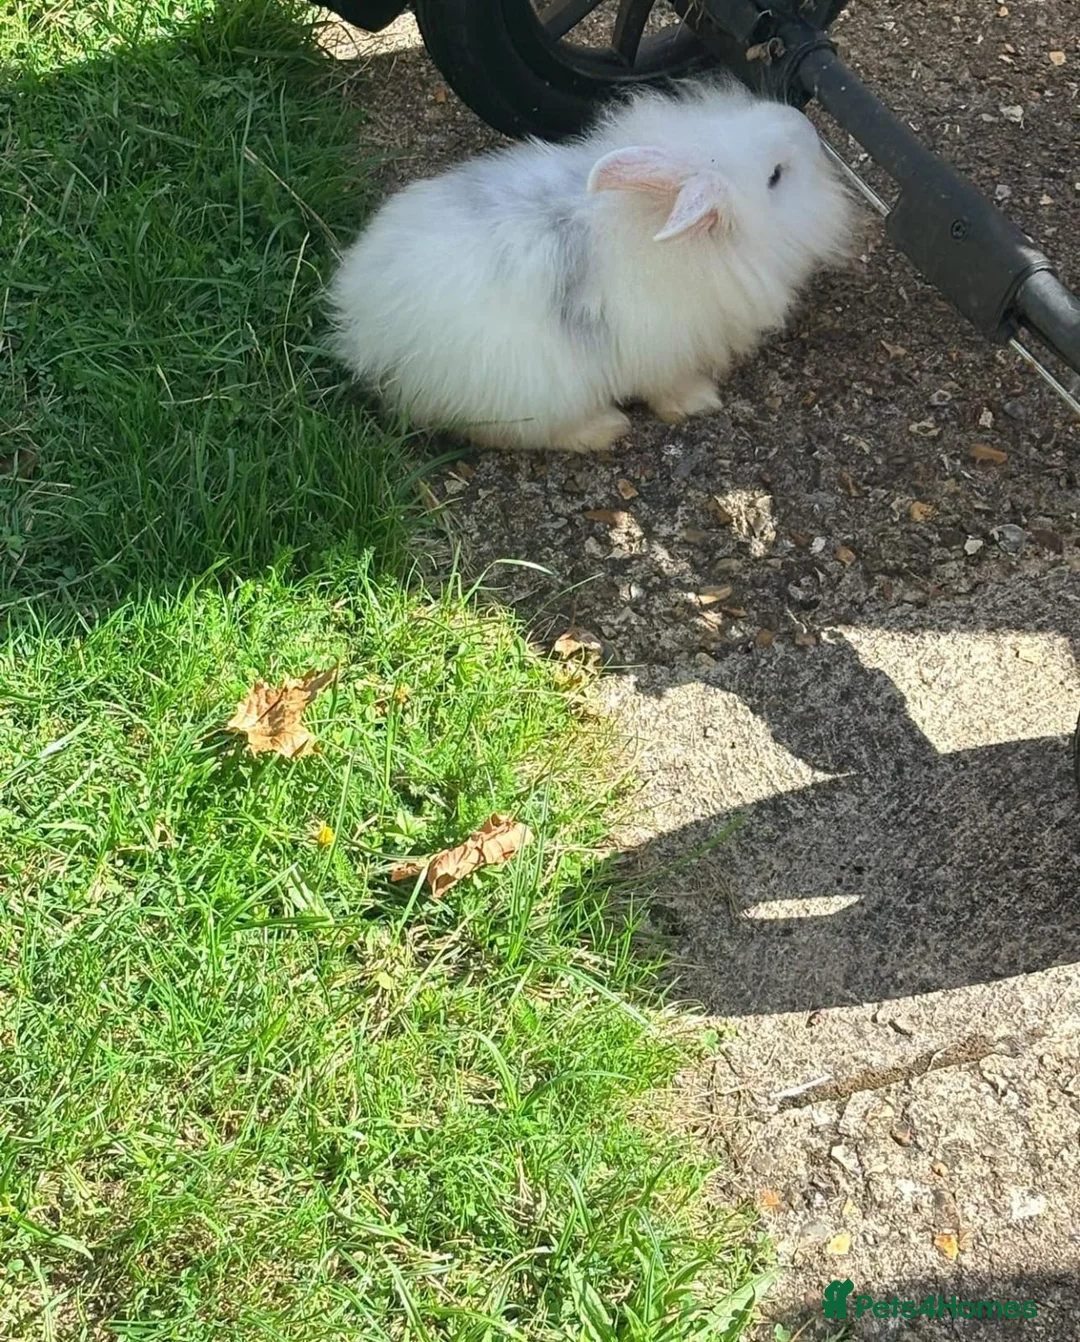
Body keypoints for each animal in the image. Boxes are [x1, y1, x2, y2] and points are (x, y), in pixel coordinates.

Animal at [328, 78, 855, 453]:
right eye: (775, 177)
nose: (804, 125)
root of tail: (365, 335)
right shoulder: (664, 354)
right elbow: (668, 387)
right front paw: (698, 403)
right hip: (530, 394)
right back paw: (604, 428)